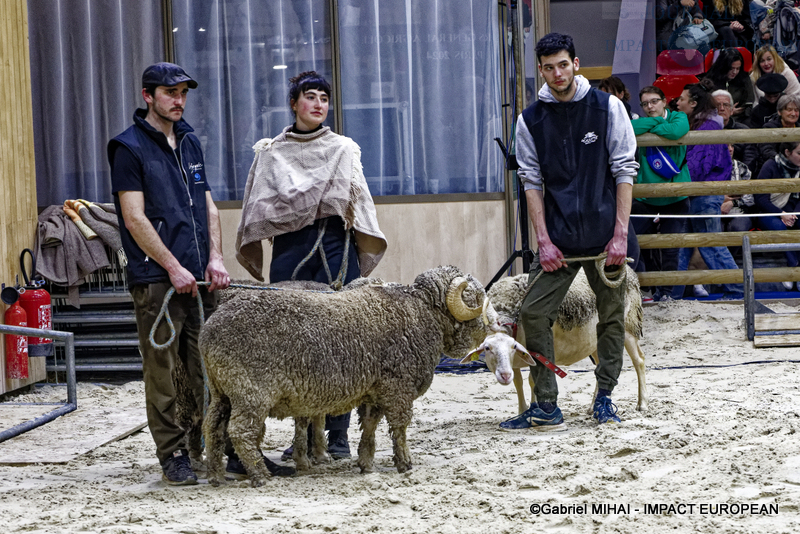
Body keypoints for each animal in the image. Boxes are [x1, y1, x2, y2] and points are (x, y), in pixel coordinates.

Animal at [200, 266, 494, 488]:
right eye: (476, 296)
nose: (497, 322)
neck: (420, 313)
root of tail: (209, 331)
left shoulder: (375, 389)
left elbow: (371, 425)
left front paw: (366, 463)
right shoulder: (397, 386)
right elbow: (399, 427)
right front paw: (405, 463)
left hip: (221, 389)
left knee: (212, 427)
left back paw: (215, 475)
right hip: (250, 390)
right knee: (240, 432)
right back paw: (261, 476)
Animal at [472, 270, 648, 416]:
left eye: (511, 347)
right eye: (487, 349)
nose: (503, 376)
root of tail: (630, 272)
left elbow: (532, 381)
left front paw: (535, 410)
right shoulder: (514, 362)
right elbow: (518, 382)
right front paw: (522, 411)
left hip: (629, 324)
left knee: (639, 360)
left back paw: (642, 404)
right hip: (595, 341)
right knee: (601, 366)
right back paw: (593, 407)